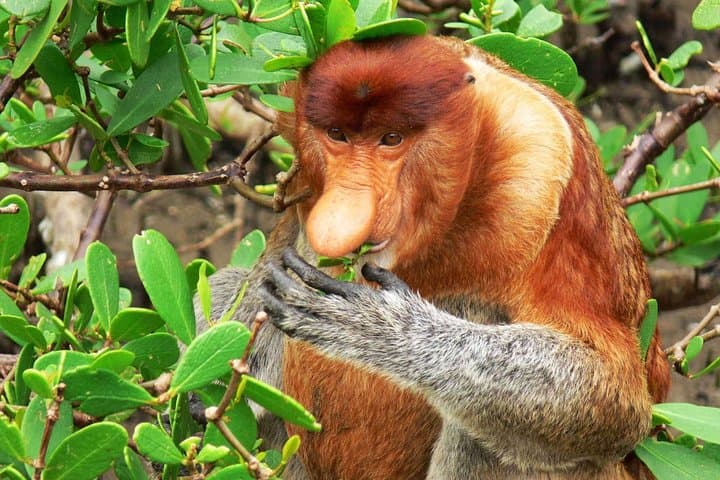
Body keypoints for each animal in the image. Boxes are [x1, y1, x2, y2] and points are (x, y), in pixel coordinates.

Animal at [202, 35, 671, 479]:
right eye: (337, 134)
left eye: (392, 139)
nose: (341, 219)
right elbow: (268, 270)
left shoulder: (541, 166)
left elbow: (611, 395)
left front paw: (379, 327)